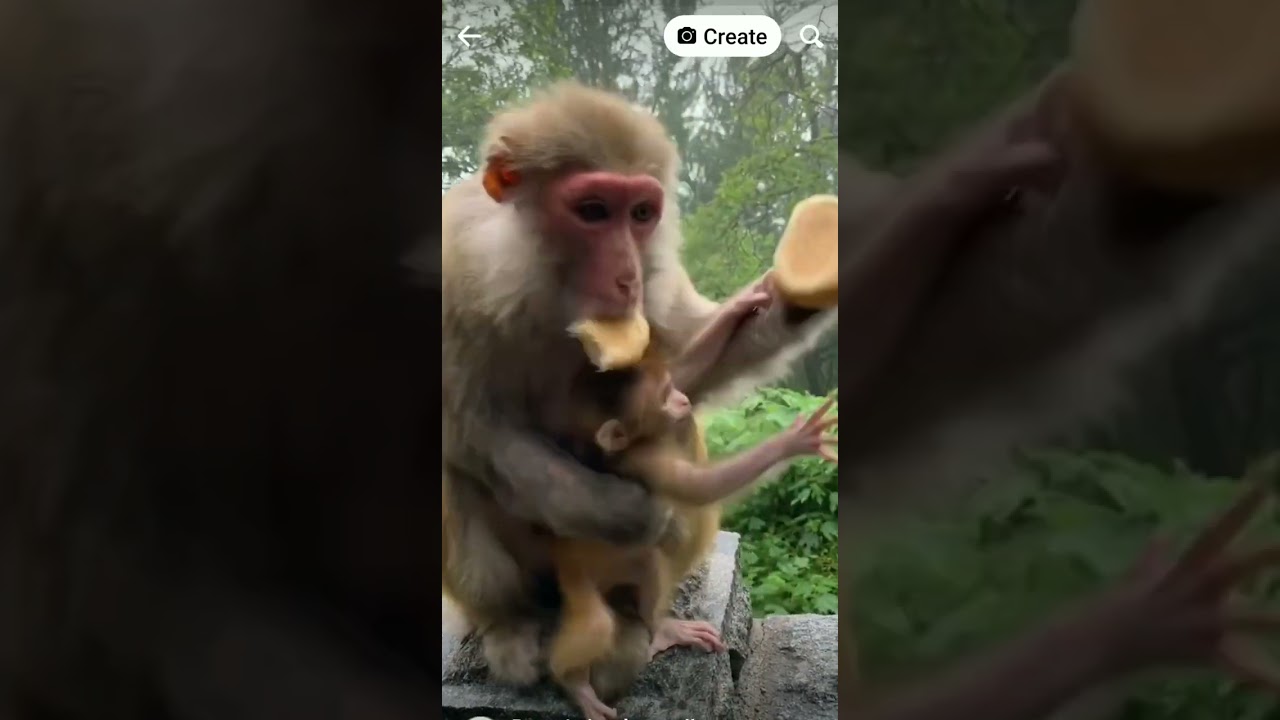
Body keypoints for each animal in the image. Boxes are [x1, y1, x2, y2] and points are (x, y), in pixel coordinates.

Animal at [440, 80, 838, 692]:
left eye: (642, 214)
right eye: (593, 212)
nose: (627, 275)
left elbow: (689, 365)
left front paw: (797, 286)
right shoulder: (453, 274)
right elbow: (471, 430)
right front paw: (624, 512)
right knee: (460, 475)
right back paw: (509, 624)